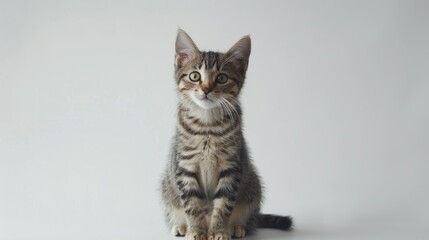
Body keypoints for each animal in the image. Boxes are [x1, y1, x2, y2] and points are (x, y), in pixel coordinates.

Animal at [160, 29, 290, 239]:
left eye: (221, 78)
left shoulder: (231, 167)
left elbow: (223, 205)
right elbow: (192, 204)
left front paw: (219, 231)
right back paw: (182, 226)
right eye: (195, 76)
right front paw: (196, 230)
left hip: (253, 186)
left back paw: (236, 227)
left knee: (249, 220)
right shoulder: (185, 166)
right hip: (167, 187)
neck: (207, 125)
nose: (206, 89)